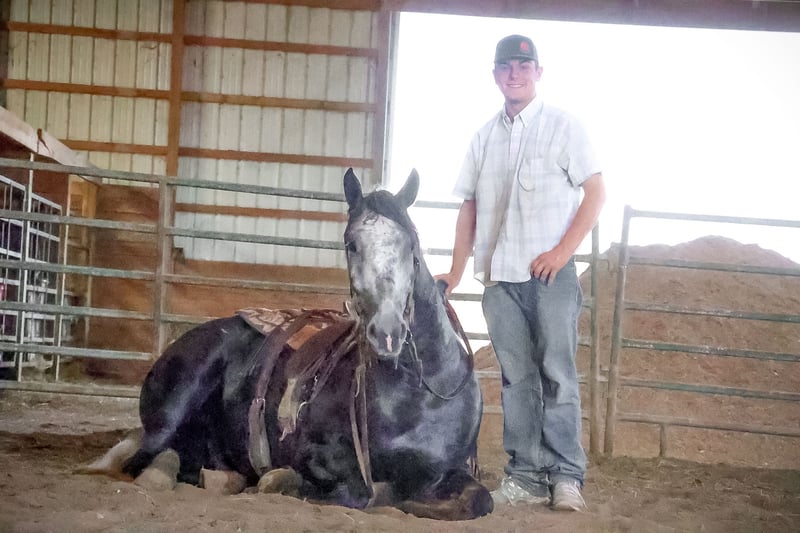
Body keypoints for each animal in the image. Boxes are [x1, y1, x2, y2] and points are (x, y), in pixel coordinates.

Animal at [82, 168, 492, 520]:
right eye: (351, 244)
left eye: (412, 244)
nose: (387, 332)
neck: (419, 395)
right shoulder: (316, 454)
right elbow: (363, 492)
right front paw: (279, 481)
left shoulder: (453, 469)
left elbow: (479, 500)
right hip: (177, 402)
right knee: (144, 458)